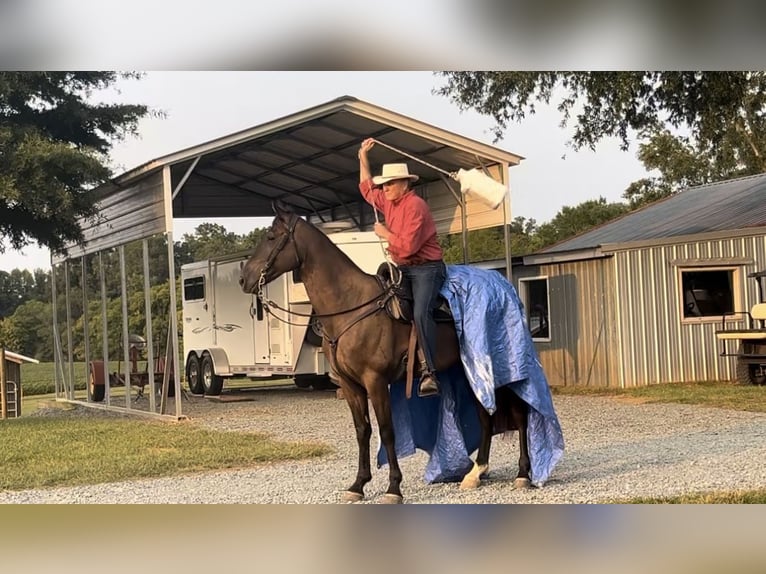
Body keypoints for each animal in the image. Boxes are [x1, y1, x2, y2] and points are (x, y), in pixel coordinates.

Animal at [238, 204, 528, 504]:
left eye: (271, 237)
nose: (244, 279)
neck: (352, 306)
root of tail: (505, 288)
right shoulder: (350, 385)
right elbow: (362, 431)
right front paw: (358, 484)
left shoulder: (375, 381)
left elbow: (388, 432)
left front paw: (393, 487)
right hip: (470, 373)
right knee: (486, 416)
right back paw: (475, 474)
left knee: (520, 415)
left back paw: (523, 474)